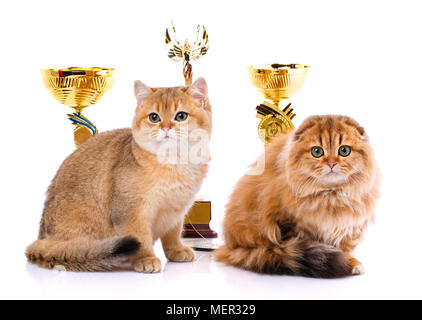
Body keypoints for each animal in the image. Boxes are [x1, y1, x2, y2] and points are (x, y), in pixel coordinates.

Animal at [214, 115, 380, 278]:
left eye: (344, 150)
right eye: (317, 152)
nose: (332, 164)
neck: (330, 196)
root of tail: (229, 246)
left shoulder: (349, 226)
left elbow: (345, 248)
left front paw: (350, 262)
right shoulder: (289, 224)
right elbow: (302, 246)